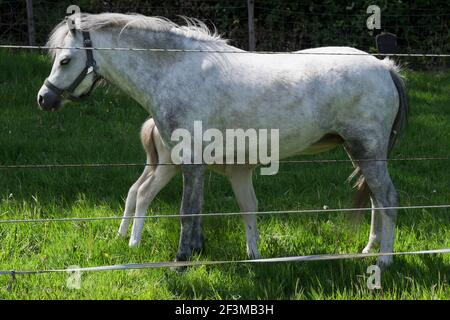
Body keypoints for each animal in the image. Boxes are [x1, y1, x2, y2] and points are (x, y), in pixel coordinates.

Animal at [38, 13, 408, 266]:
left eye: (65, 60)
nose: (45, 98)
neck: (175, 69)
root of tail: (384, 66)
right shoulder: (196, 163)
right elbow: (196, 210)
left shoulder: (189, 160)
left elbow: (187, 212)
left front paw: (181, 261)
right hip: (361, 153)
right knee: (375, 200)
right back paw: (370, 248)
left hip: (366, 149)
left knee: (387, 198)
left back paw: (384, 260)